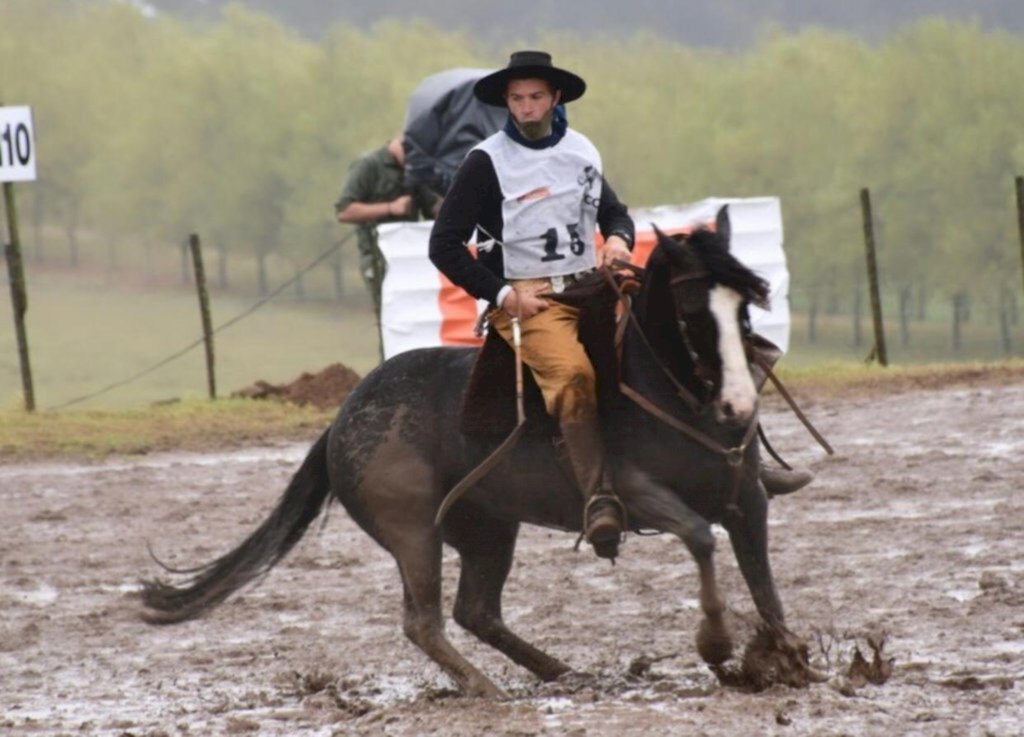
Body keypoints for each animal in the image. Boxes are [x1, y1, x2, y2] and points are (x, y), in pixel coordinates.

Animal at [140, 206, 811, 696]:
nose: (738, 406)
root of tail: (339, 422)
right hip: (414, 532)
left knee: (477, 611)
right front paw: (719, 646)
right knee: (426, 621)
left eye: (745, 305)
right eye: (693, 311)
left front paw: (790, 658)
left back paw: (561, 671)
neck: (665, 389)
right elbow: (699, 537)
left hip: (489, 529)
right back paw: (485, 688)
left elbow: (763, 580)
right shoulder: (640, 493)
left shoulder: (748, 499)